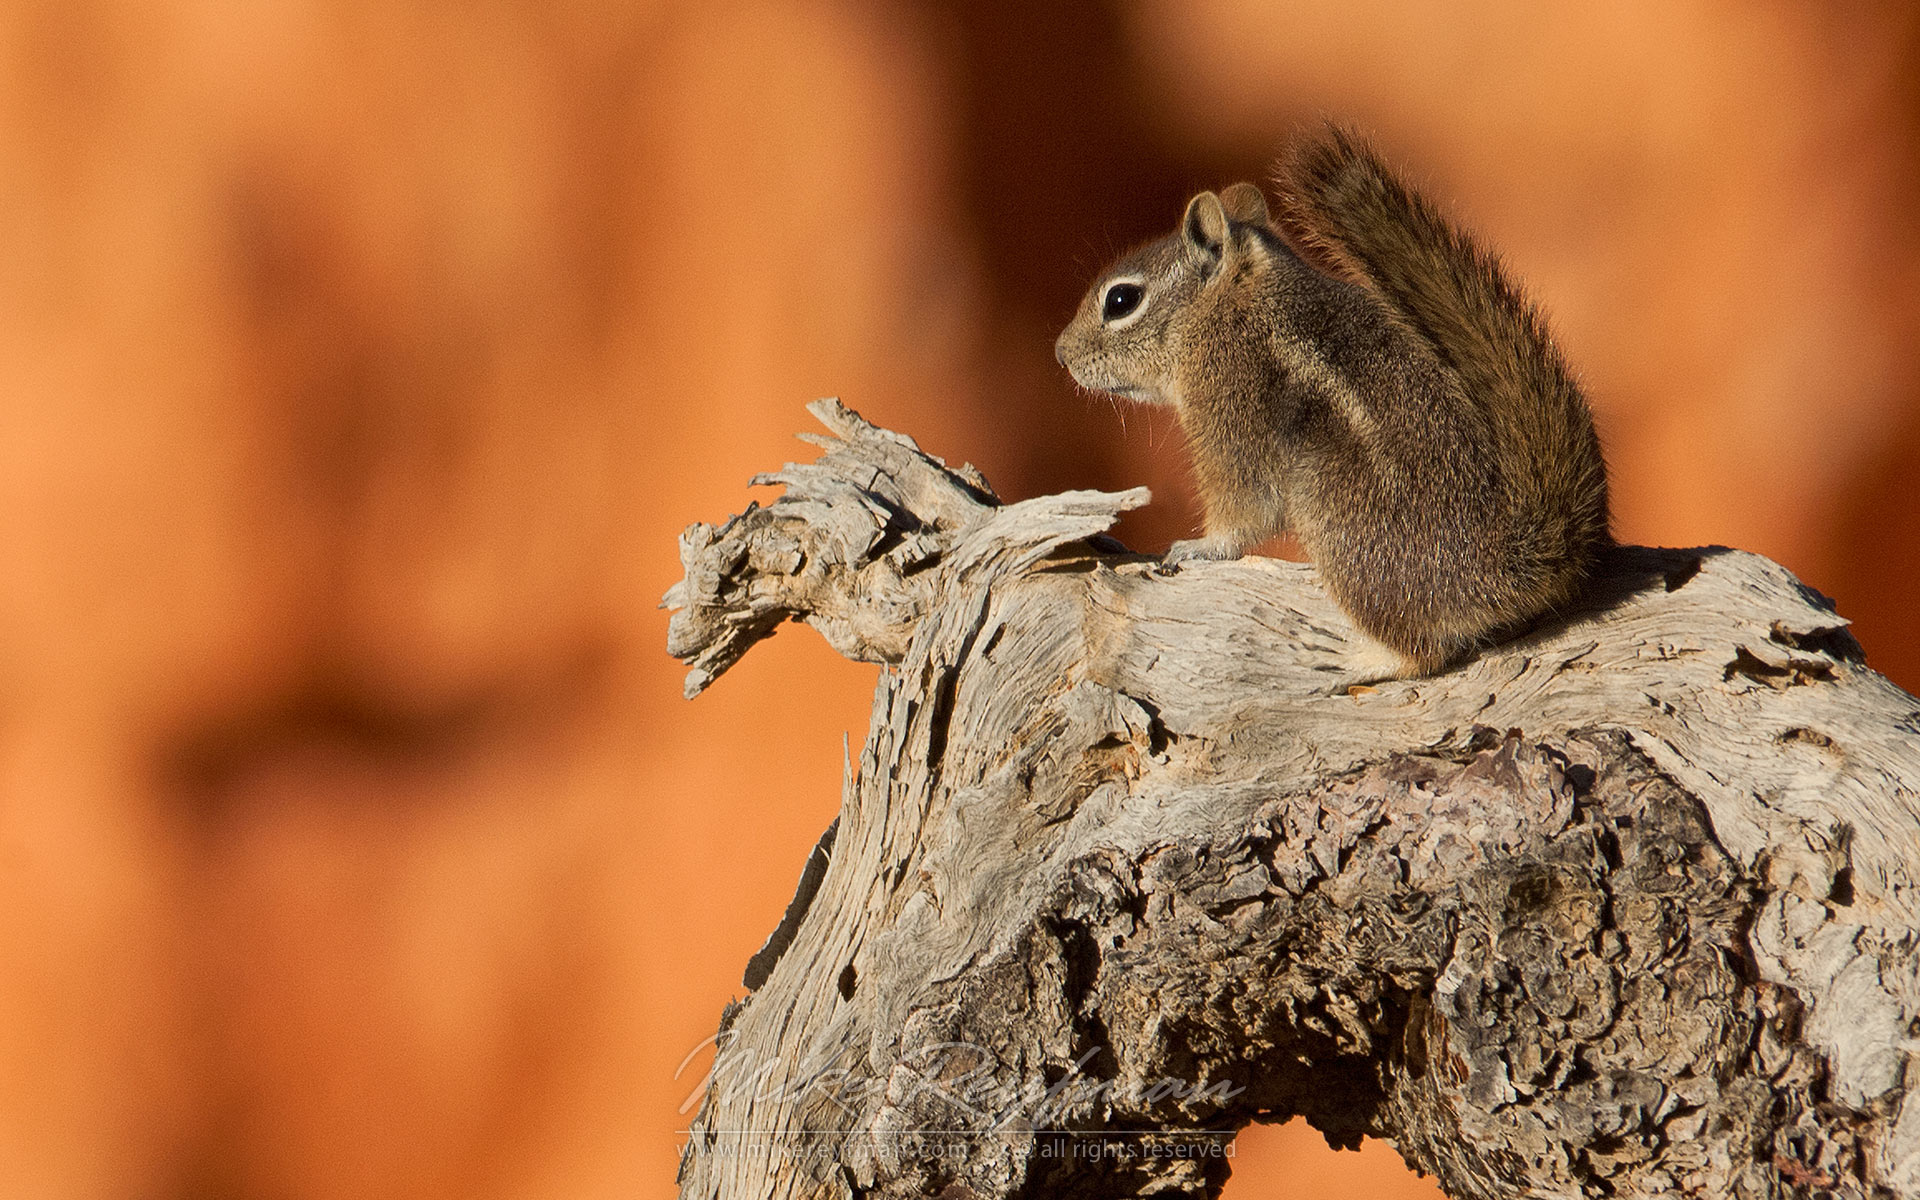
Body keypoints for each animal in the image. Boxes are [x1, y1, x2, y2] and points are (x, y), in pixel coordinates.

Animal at [1054, 126, 1610, 678]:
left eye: (1121, 300)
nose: (1060, 353)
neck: (1231, 305)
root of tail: (1507, 564)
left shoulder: (1228, 408)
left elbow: (1245, 507)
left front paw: (1199, 547)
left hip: (1342, 532)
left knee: (1423, 653)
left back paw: (1354, 660)